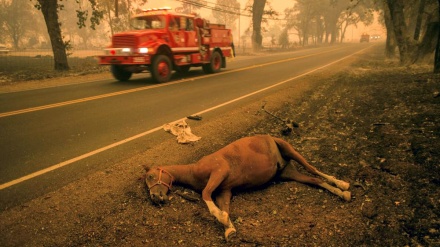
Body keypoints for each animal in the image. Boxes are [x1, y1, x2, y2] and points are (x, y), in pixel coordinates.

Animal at [144, 135, 350, 241]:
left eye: (151, 176)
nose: (155, 198)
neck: (194, 170)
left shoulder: (219, 171)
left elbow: (205, 194)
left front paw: (222, 218)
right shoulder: (224, 191)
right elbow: (224, 207)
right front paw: (228, 227)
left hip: (290, 150)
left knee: (314, 170)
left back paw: (343, 185)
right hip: (289, 173)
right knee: (315, 180)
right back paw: (342, 194)